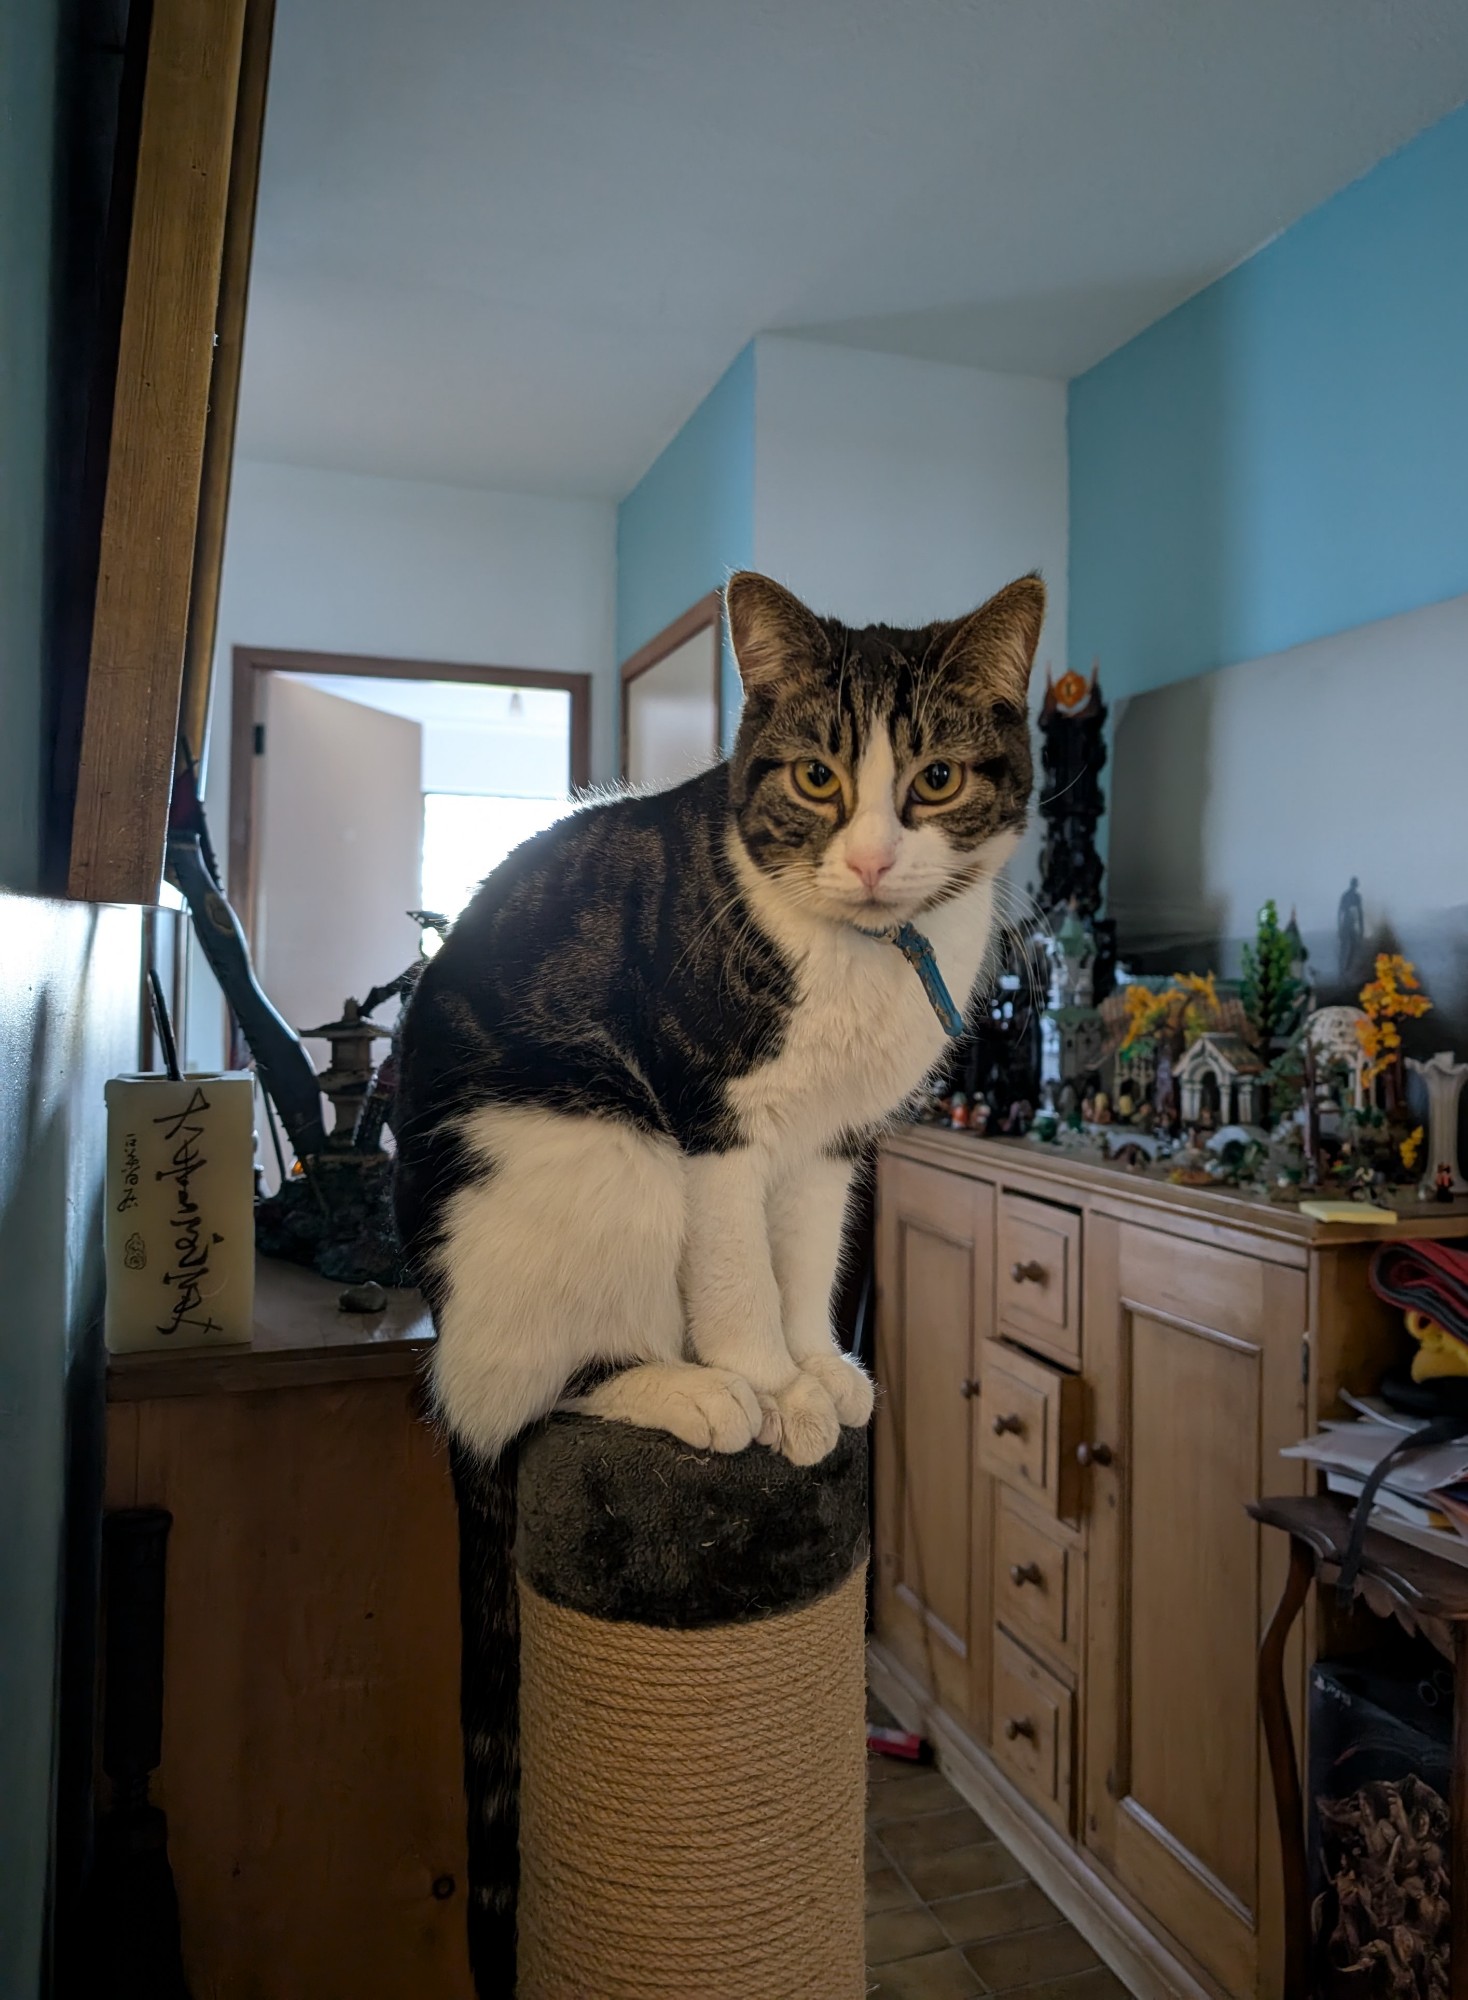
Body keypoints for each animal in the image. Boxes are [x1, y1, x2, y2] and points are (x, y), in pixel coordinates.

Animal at [392, 567, 1044, 1988]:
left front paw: (820, 1375)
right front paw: (766, 1388)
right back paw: (691, 1395)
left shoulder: (829, 1145)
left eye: (932, 778)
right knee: (519, 1389)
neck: (864, 954)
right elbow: (741, 1275)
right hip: (599, 1148)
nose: (869, 855)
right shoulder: (713, 1119)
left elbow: (803, 1264)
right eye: (813, 776)